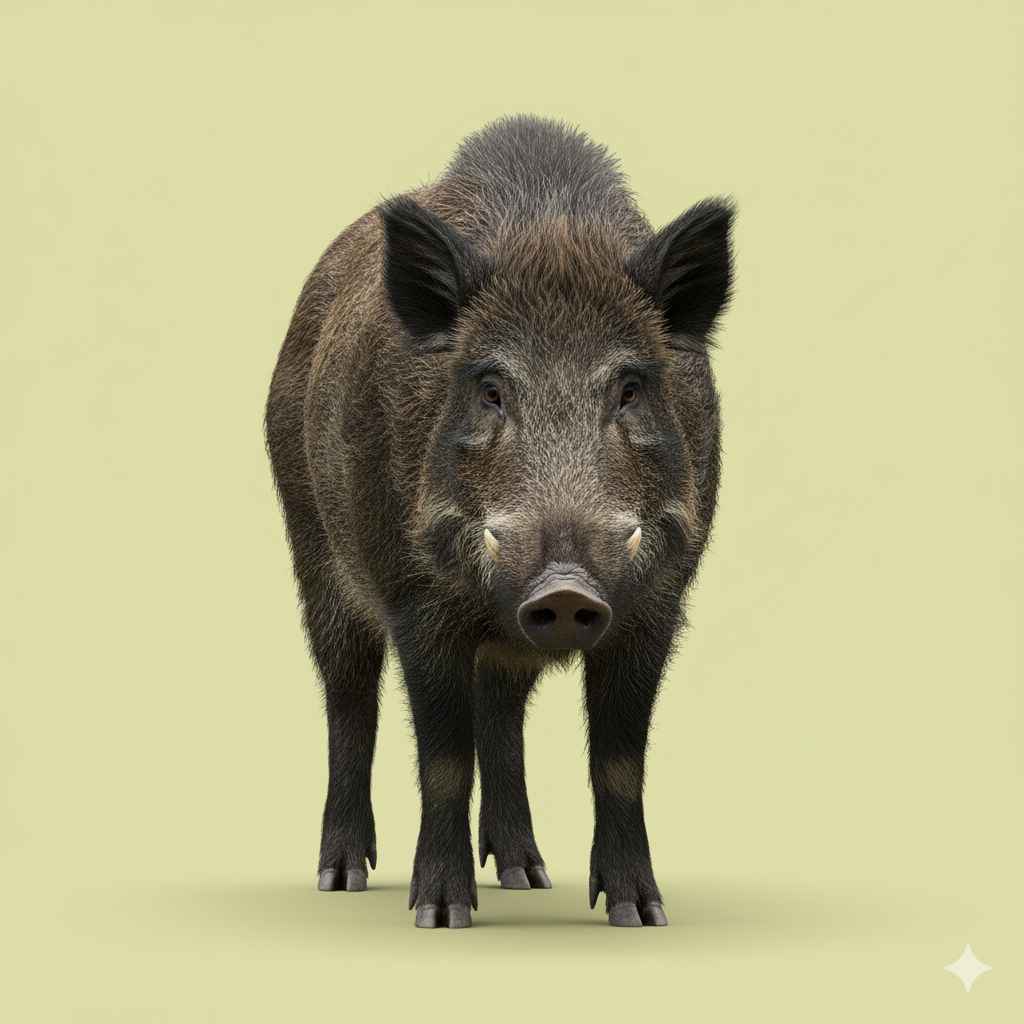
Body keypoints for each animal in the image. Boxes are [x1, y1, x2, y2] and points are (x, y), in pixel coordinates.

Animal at [264, 113, 734, 928]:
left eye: (631, 387)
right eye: (489, 388)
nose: (565, 587)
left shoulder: (657, 604)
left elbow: (619, 763)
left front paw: (640, 915)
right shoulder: (418, 602)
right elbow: (444, 763)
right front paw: (440, 916)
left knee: (501, 712)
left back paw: (525, 875)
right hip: (313, 551)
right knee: (348, 700)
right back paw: (341, 876)